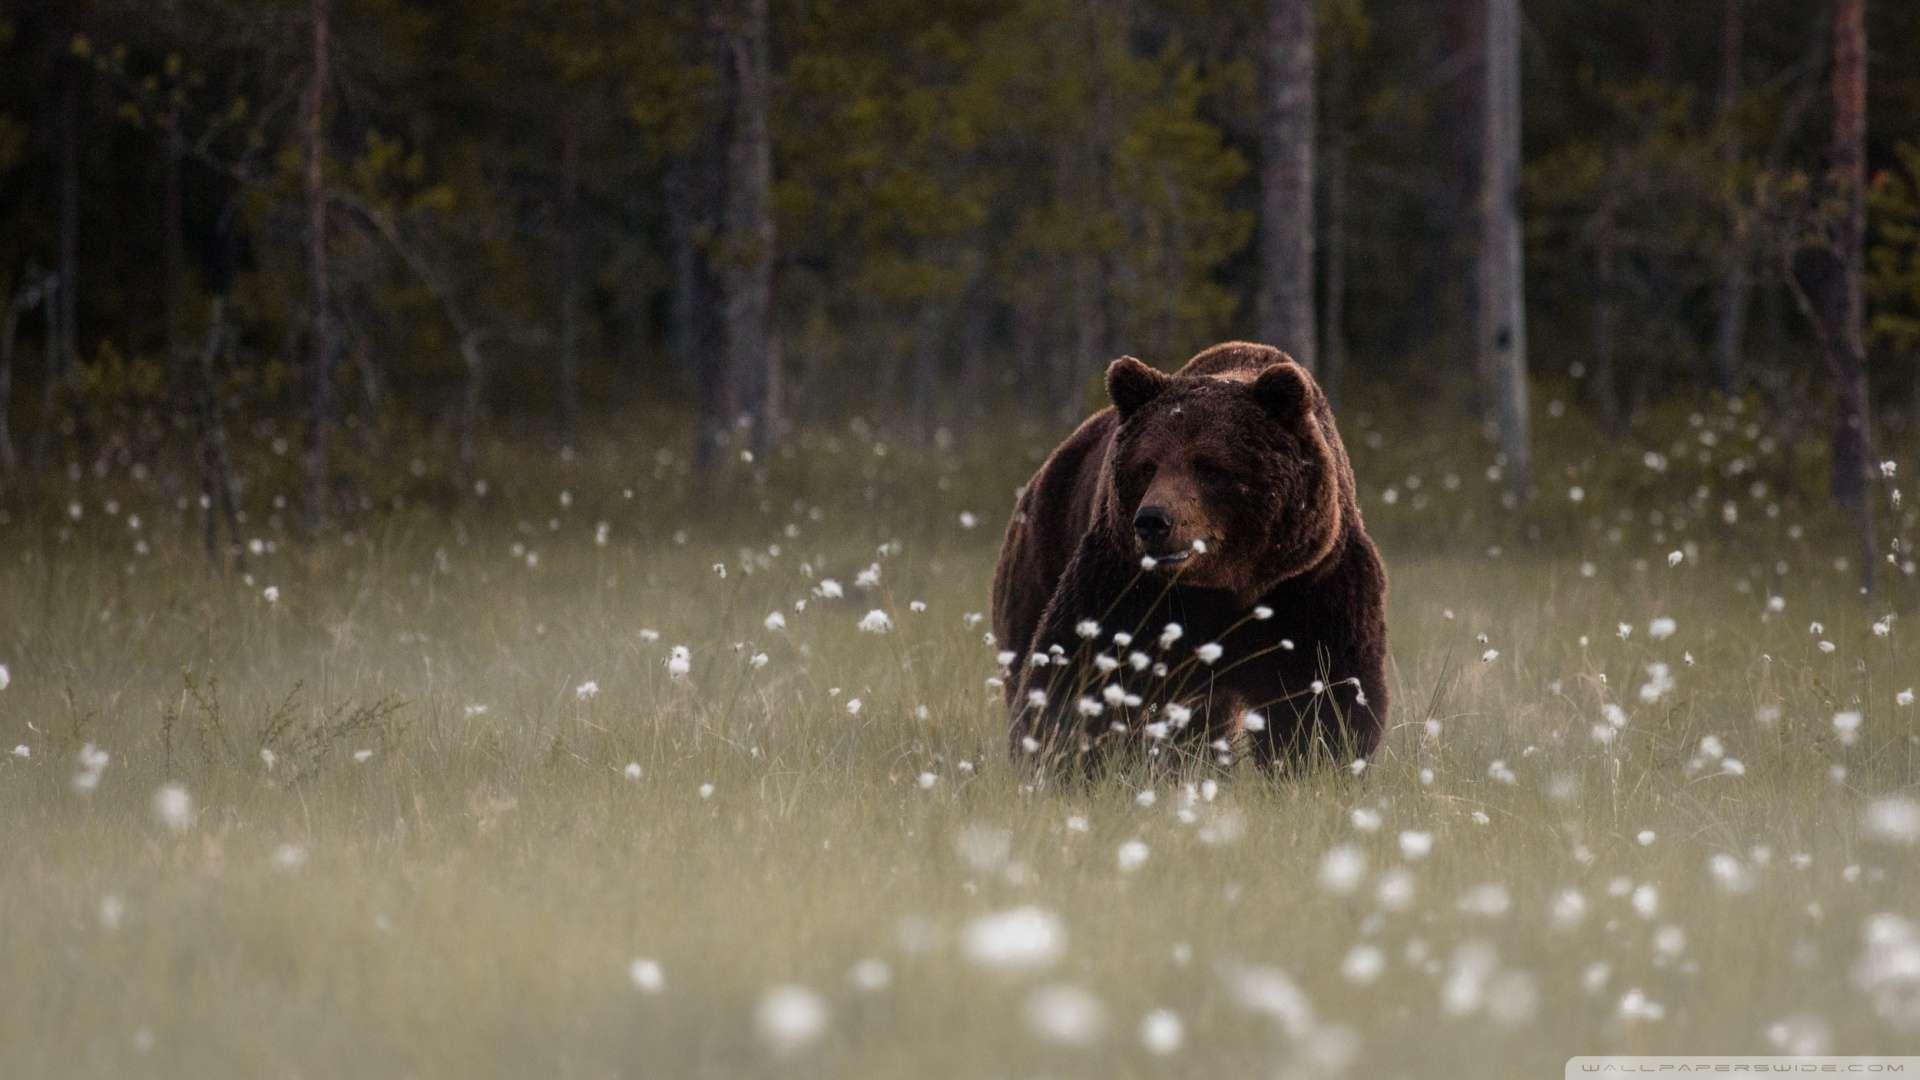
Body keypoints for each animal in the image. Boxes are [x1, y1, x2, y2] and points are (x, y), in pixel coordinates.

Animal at [990, 341, 1388, 775]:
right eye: (1148, 465)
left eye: (1210, 466)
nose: (1152, 521)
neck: (1223, 587)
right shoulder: (1125, 584)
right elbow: (1082, 668)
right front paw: (1065, 758)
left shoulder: (1310, 584)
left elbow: (1323, 691)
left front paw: (1316, 761)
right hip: (1041, 555)